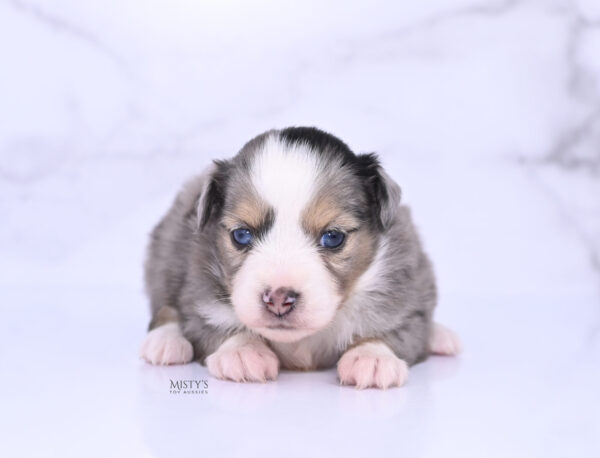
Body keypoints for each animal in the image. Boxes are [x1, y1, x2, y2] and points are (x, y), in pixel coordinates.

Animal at [141, 127, 460, 388]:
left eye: (333, 237)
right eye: (242, 235)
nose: (278, 299)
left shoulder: (403, 295)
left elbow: (398, 328)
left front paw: (372, 355)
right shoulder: (199, 290)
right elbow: (212, 321)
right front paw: (243, 349)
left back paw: (440, 336)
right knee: (164, 309)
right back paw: (165, 341)